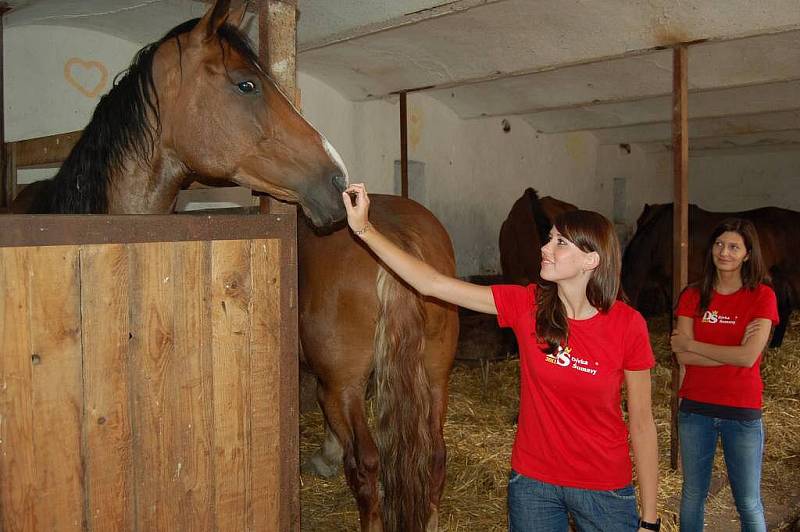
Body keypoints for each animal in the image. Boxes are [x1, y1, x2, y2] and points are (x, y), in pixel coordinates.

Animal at [296, 195, 456, 532]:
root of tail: (396, 238)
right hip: (437, 380)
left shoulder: (336, 385)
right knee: (436, 455)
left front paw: (326, 457)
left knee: (367, 462)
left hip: (345, 388)